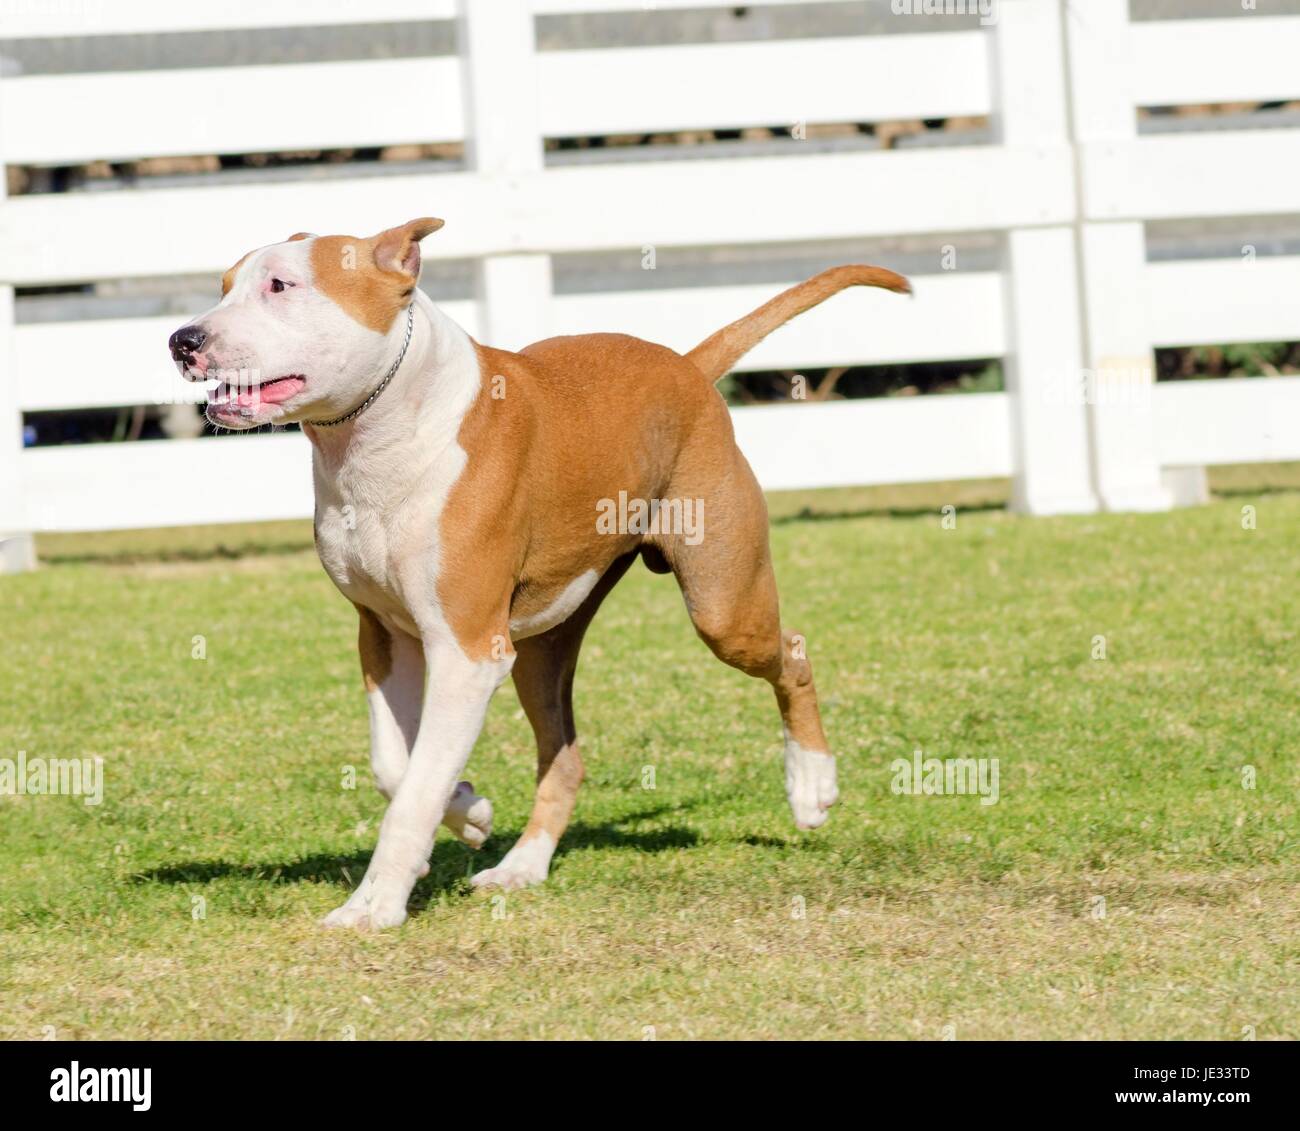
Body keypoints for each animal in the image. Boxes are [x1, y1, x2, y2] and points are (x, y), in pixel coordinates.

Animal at [167, 220, 909, 930]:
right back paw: (522, 866)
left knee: (790, 654)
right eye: (226, 285)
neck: (383, 431)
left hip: (723, 604)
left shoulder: (465, 650)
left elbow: (412, 789)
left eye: (281, 286)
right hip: (542, 644)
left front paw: (375, 906)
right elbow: (396, 768)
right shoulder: (384, 635)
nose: (182, 339)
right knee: (565, 753)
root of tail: (687, 366)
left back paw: (811, 786)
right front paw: (467, 809)